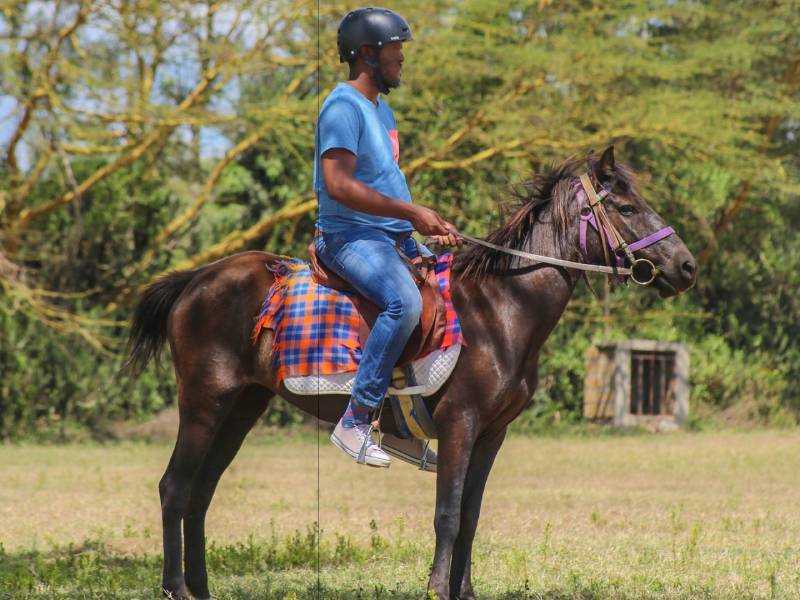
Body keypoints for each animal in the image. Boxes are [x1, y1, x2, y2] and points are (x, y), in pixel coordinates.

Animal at [125, 146, 697, 599]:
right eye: (627, 207)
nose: (687, 267)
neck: (501, 309)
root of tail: (199, 278)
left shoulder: (492, 434)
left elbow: (471, 516)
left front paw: (464, 591)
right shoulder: (460, 424)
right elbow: (448, 514)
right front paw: (437, 590)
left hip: (242, 408)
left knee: (200, 494)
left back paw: (200, 589)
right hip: (205, 403)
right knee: (175, 487)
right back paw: (176, 588)